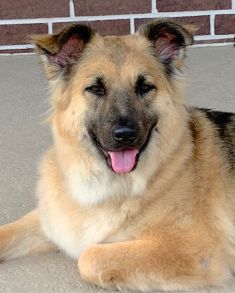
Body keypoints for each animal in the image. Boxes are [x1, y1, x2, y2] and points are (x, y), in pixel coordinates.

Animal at [0, 20, 234, 290]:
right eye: (95, 89)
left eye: (144, 87)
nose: (125, 135)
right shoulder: (51, 219)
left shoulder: (196, 251)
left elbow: (89, 257)